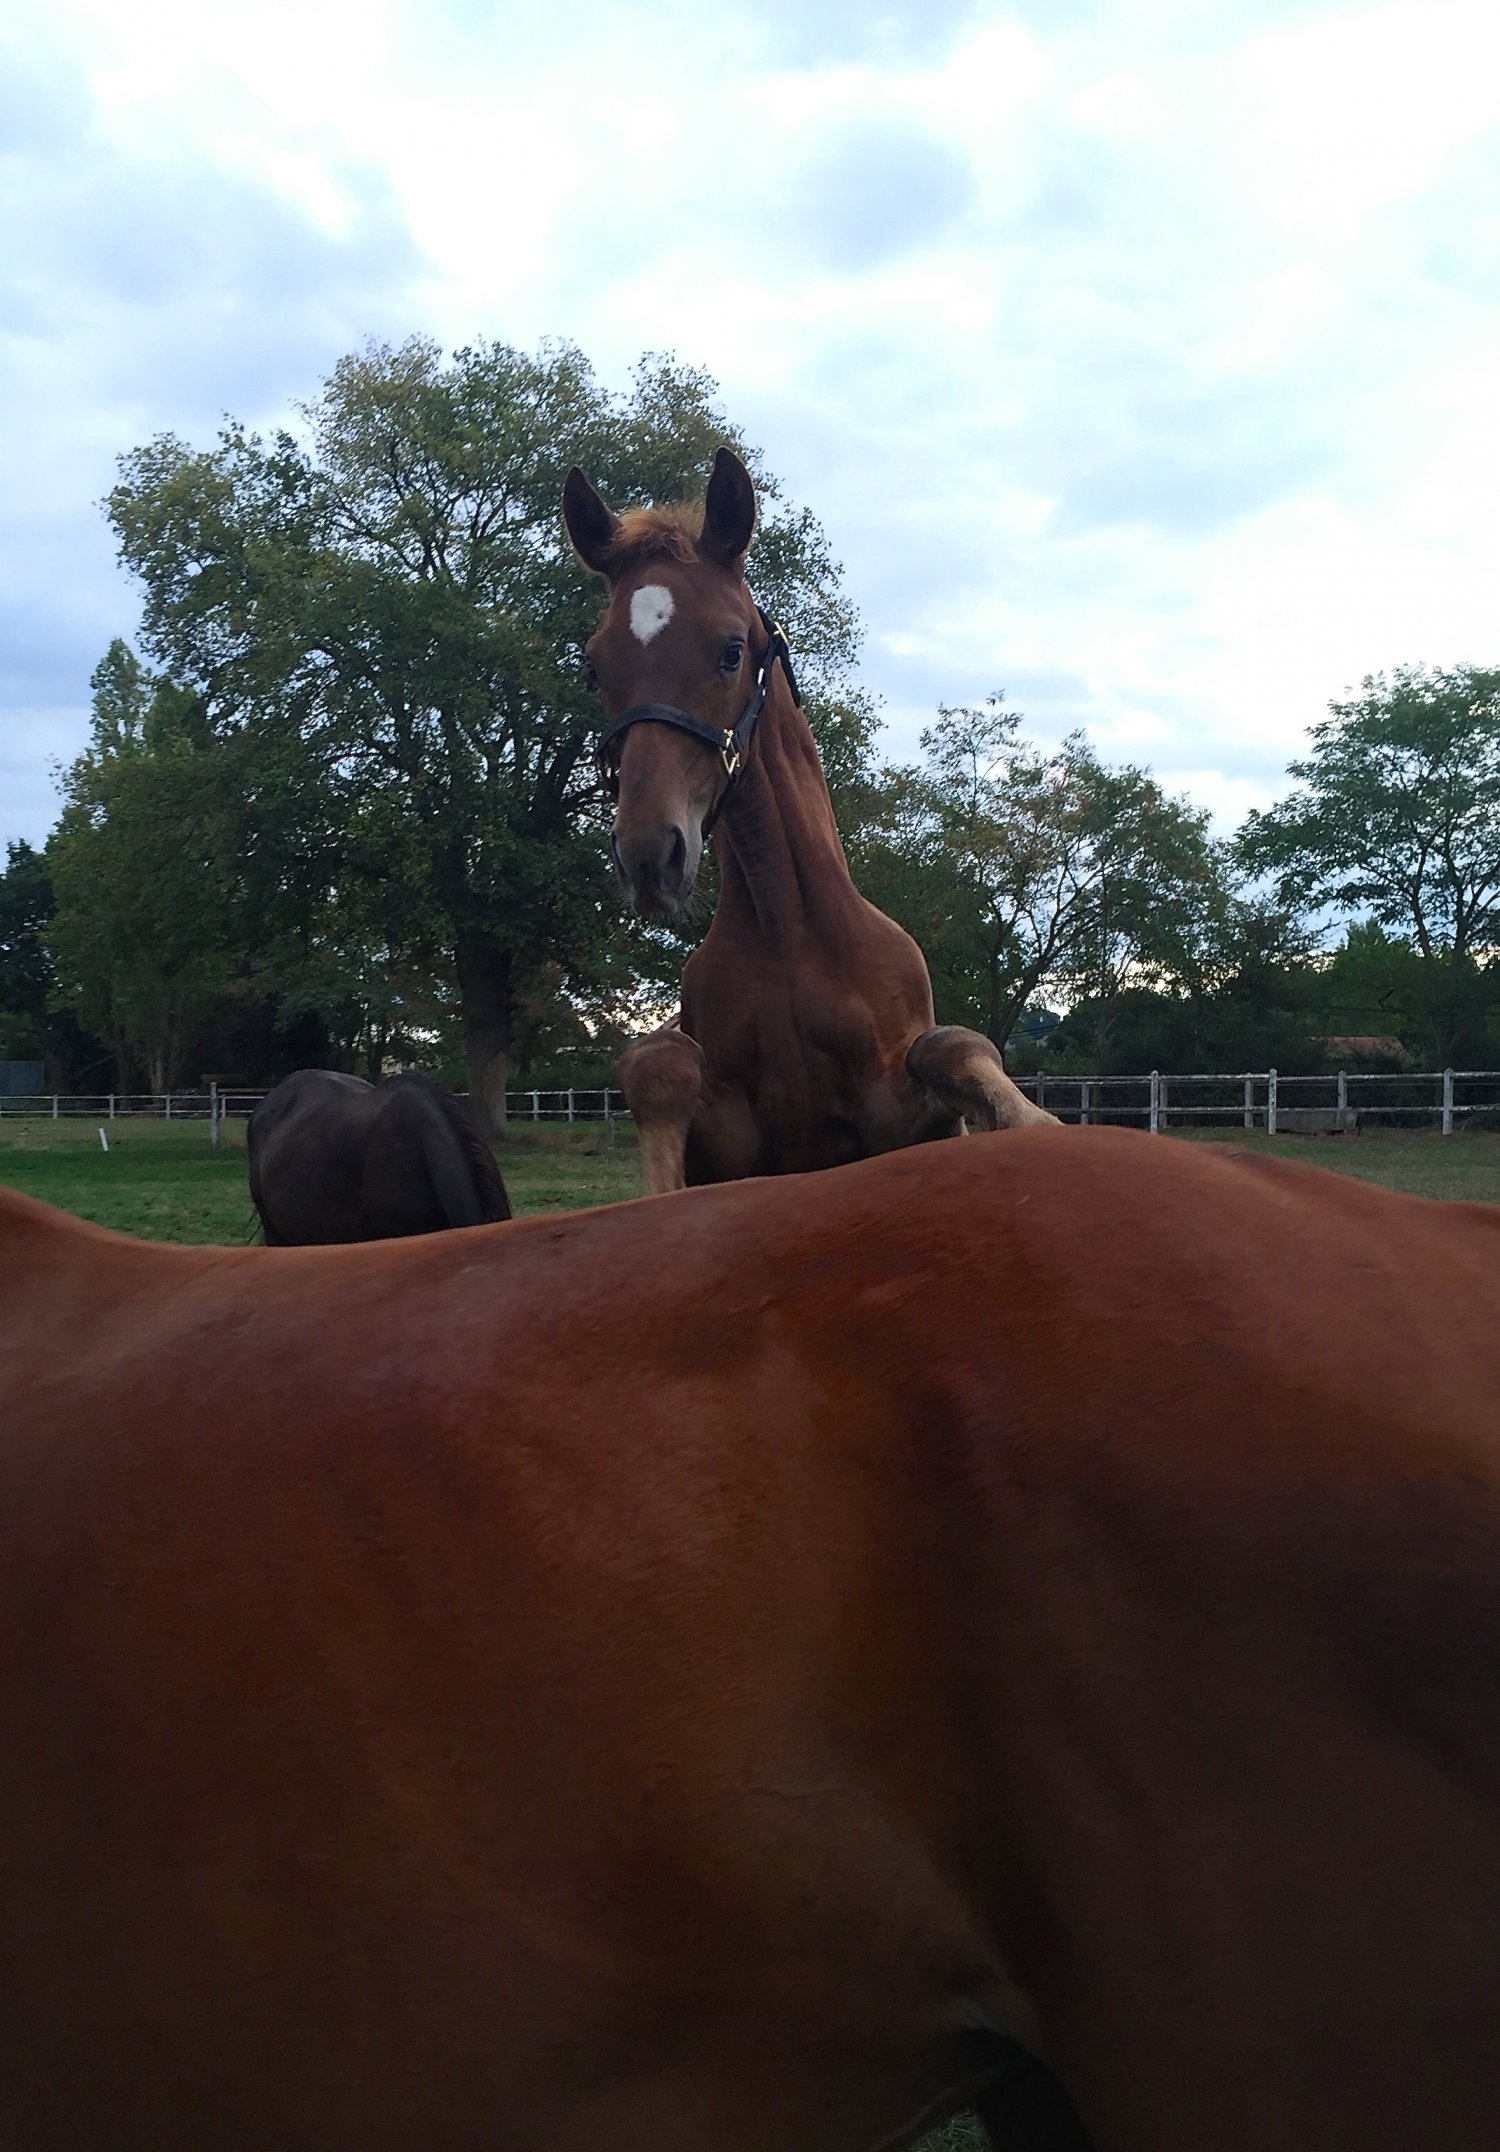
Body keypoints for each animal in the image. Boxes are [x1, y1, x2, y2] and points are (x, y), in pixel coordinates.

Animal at [563, 448, 1054, 1193]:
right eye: (594, 668)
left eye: (731, 650)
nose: (648, 854)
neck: (788, 936)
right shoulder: (728, 1142)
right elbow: (657, 1064)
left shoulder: (909, 1119)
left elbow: (953, 1047)